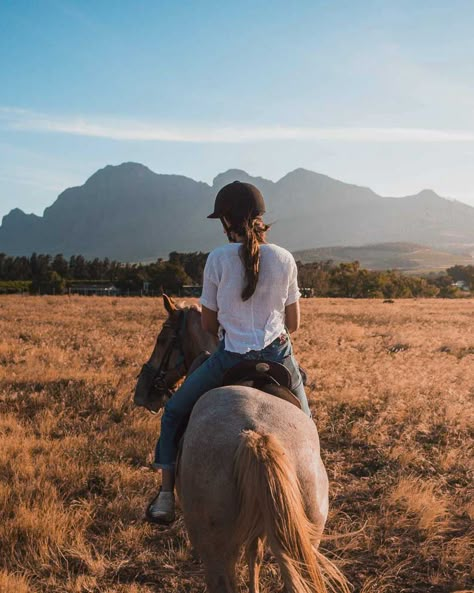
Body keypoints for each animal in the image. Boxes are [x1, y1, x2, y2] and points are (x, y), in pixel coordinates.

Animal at [133, 296, 348, 592]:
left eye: (162, 338)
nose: (143, 393)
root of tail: (258, 436)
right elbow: (255, 555)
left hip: (213, 548)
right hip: (304, 535)